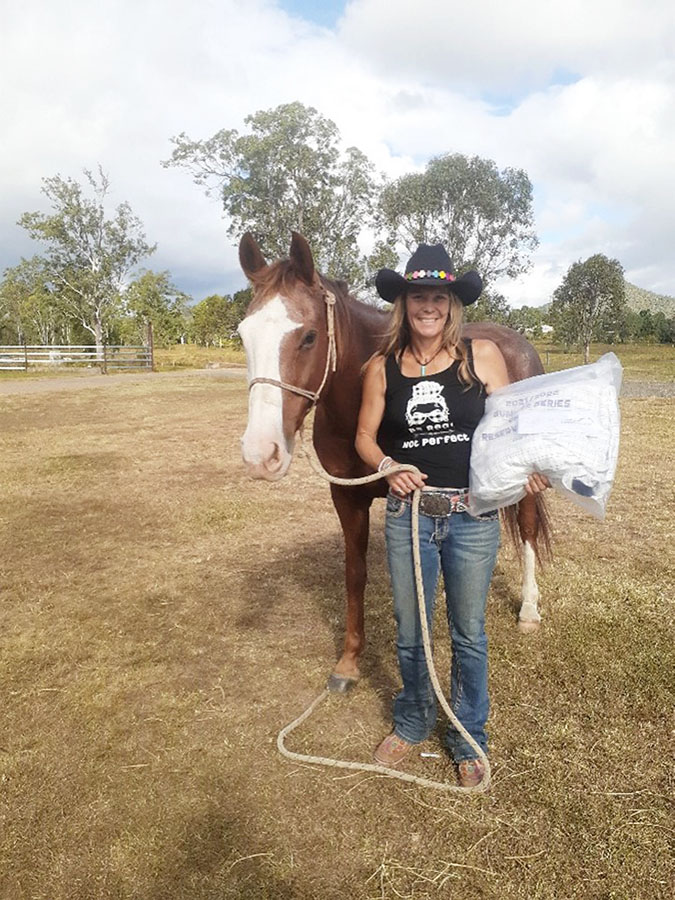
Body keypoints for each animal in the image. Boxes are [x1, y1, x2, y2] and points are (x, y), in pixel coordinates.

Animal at [236, 230, 548, 688]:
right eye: (243, 336)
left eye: (309, 336)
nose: (261, 455)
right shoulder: (347, 498)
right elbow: (356, 573)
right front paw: (348, 662)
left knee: (526, 527)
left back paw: (528, 609)